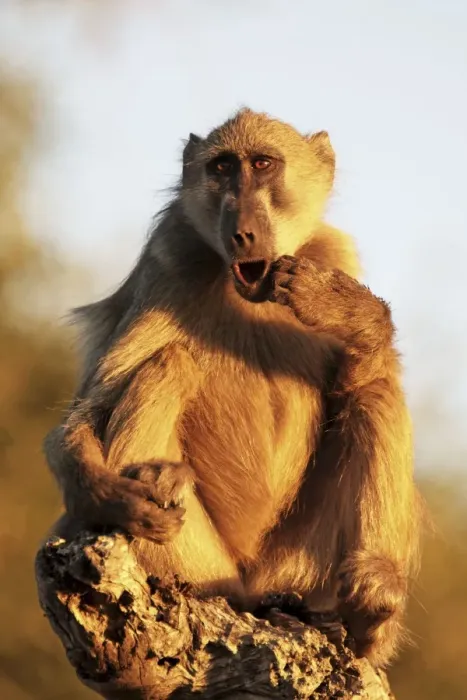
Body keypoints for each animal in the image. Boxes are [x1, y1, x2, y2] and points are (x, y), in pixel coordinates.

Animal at [44, 108, 421, 668]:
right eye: (222, 167)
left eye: (262, 164)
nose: (242, 233)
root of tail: (247, 586)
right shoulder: (169, 260)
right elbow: (86, 413)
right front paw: (110, 496)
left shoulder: (333, 255)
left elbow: (356, 384)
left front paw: (349, 313)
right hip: (203, 561)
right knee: (170, 362)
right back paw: (158, 493)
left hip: (298, 565)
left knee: (374, 392)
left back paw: (370, 613)